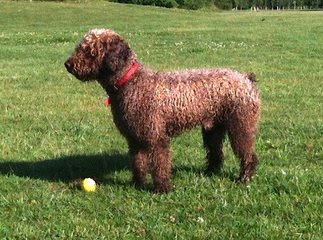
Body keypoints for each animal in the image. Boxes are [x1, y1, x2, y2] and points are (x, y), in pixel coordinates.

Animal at [64, 28, 262, 193]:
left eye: (90, 51)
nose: (67, 64)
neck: (131, 82)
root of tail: (246, 78)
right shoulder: (135, 139)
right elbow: (138, 162)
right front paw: (137, 182)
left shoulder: (156, 138)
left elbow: (160, 164)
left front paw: (163, 188)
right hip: (213, 129)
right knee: (216, 153)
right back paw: (209, 172)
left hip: (241, 127)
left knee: (248, 154)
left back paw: (245, 177)